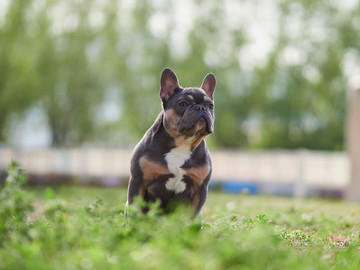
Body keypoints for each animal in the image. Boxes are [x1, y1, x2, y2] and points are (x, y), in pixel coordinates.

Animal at [126, 68, 215, 217]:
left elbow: (192, 217)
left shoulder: (200, 189)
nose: (201, 108)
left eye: (210, 105)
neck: (182, 144)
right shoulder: (138, 182)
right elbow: (135, 212)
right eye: (183, 103)